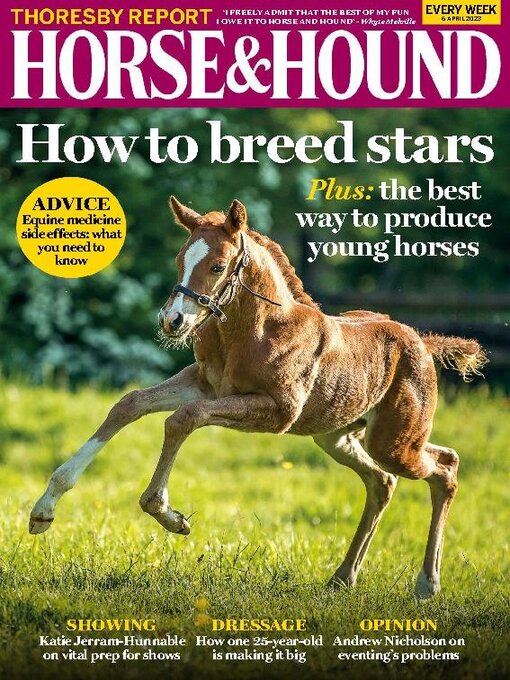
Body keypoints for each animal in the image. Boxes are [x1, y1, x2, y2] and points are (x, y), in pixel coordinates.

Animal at [29, 197, 486, 599]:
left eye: (217, 266)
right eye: (179, 260)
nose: (172, 320)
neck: (257, 329)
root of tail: (423, 342)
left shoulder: (276, 411)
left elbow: (184, 418)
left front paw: (168, 515)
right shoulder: (205, 383)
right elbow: (131, 403)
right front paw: (44, 510)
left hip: (394, 442)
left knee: (445, 467)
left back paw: (427, 584)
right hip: (337, 436)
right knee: (382, 482)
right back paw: (342, 579)